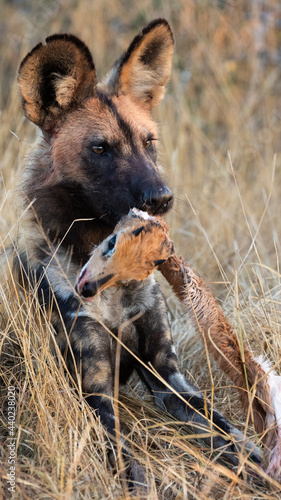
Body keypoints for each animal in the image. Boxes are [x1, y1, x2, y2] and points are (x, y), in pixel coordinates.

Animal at [10, 19, 262, 484]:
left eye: (149, 142)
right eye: (100, 148)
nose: (161, 198)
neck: (112, 276)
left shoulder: (167, 374)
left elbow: (233, 434)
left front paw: (261, 466)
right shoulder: (94, 391)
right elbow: (132, 467)